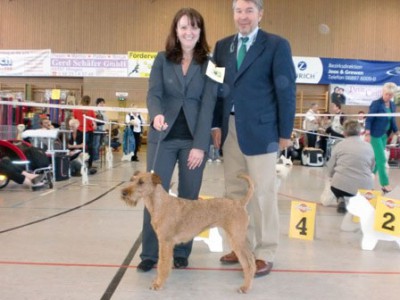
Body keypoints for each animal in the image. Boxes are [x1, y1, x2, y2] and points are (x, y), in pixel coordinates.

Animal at [120, 171, 255, 292]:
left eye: (141, 182)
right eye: (132, 179)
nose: (123, 192)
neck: (160, 204)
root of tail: (240, 203)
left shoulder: (165, 242)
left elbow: (162, 264)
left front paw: (158, 284)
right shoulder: (165, 242)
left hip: (236, 239)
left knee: (248, 263)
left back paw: (245, 287)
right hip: (237, 238)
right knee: (251, 259)